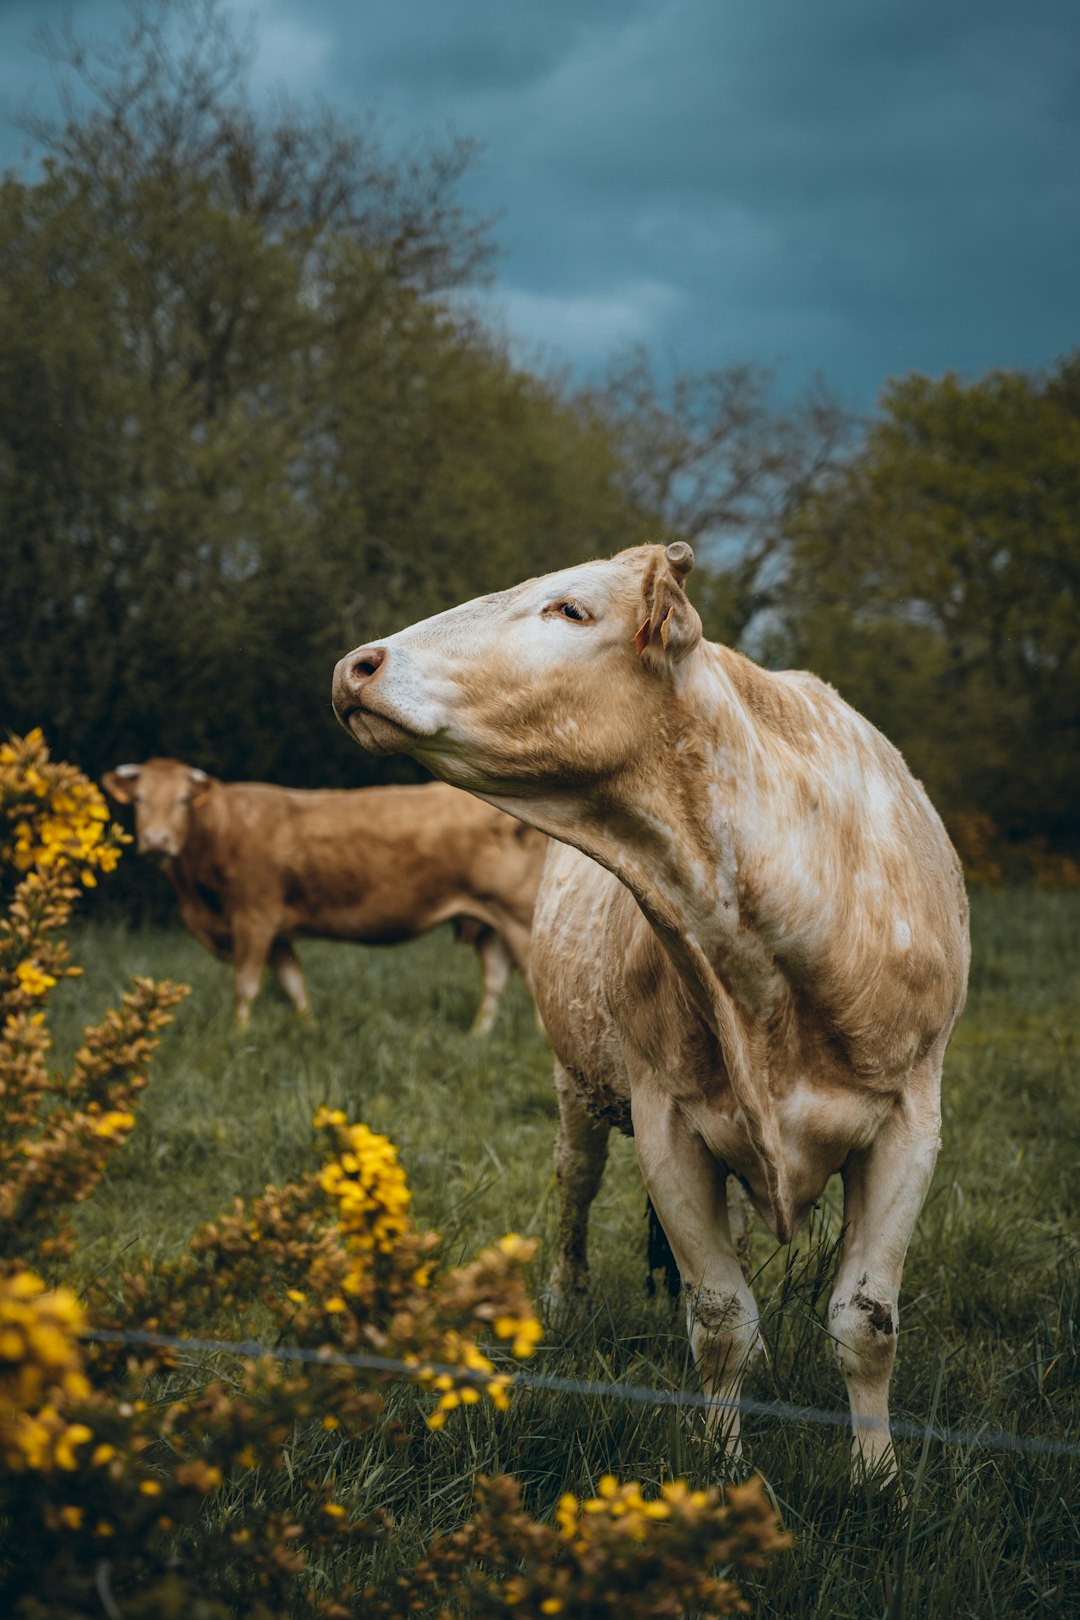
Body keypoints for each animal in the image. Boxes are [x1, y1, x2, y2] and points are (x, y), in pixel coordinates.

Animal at [101, 758, 544, 1023]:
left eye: (182, 801)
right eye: (138, 800)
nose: (157, 841)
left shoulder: (254, 917)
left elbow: (246, 986)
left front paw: (237, 1034)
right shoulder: (276, 932)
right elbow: (294, 983)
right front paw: (308, 1028)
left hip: (520, 918)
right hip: (487, 922)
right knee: (496, 978)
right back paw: (477, 1035)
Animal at [330, 544, 971, 1483]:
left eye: (570, 609)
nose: (356, 665)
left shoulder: (910, 1118)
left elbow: (865, 1322)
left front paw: (879, 1477)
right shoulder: (667, 1119)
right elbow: (719, 1317)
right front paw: (724, 1465)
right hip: (576, 1085)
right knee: (575, 1186)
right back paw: (565, 1299)